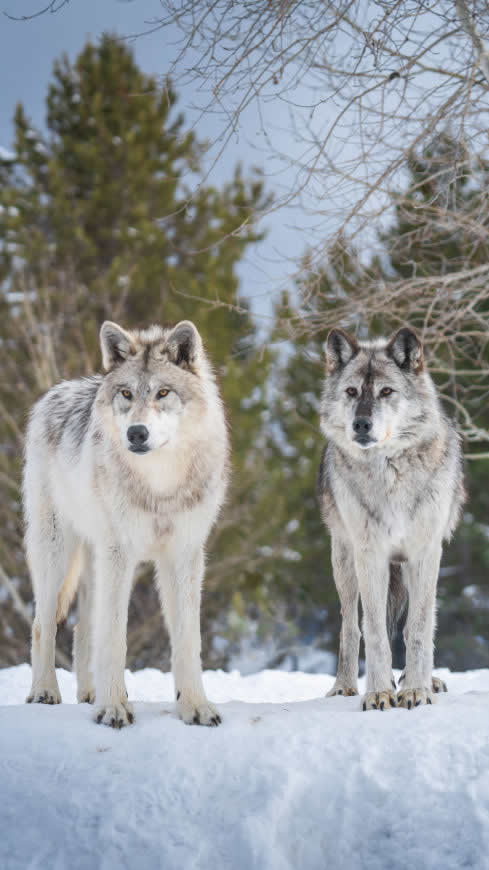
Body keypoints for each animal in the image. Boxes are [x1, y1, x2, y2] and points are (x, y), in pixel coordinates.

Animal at [22, 320, 229, 728]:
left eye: (163, 392)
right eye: (127, 393)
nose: (136, 432)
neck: (160, 485)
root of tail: (57, 389)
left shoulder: (183, 556)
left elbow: (187, 640)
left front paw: (195, 707)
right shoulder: (120, 552)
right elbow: (115, 636)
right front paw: (114, 708)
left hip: (94, 558)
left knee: (83, 627)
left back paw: (88, 694)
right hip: (57, 551)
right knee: (43, 625)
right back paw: (45, 692)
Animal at [318, 328, 464, 708]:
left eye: (386, 391)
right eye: (352, 392)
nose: (361, 424)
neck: (390, 473)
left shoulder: (424, 554)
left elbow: (419, 627)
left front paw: (415, 689)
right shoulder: (370, 555)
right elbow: (374, 632)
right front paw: (379, 693)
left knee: (421, 624)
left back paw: (427, 680)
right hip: (344, 562)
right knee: (350, 626)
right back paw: (344, 686)